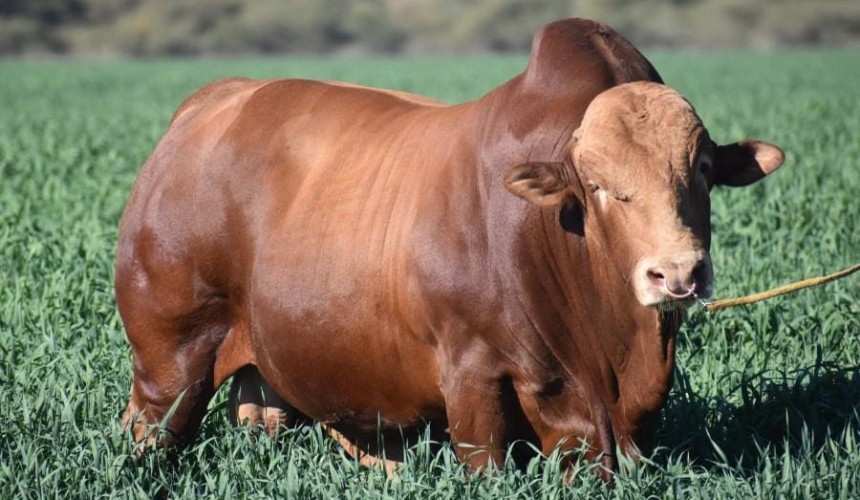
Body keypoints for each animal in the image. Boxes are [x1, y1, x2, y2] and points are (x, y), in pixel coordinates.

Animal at [116, 18, 784, 476]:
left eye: (702, 170)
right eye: (596, 186)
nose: (677, 273)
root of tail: (213, 101)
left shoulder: (589, 428)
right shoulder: (473, 377)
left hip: (265, 370)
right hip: (169, 361)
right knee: (149, 431)